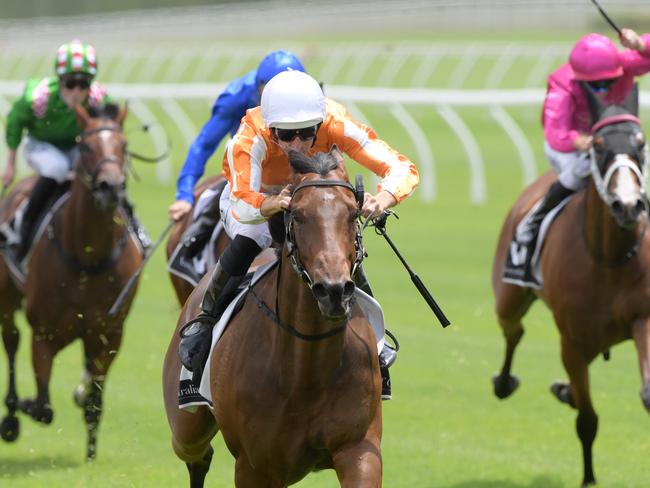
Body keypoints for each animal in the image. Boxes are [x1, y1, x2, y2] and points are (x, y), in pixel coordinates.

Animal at [0, 103, 143, 458]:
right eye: (87, 147)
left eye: (123, 146)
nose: (111, 186)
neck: (88, 258)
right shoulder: (44, 333)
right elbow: (42, 407)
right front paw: (21, 406)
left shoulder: (110, 334)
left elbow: (93, 400)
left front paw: (91, 452)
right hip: (6, 297)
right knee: (11, 341)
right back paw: (10, 414)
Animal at [163, 150, 384, 488]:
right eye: (299, 215)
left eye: (351, 213)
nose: (333, 291)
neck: (307, 367)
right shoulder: (255, 465)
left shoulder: (359, 447)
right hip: (186, 426)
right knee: (196, 453)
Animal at [492, 88, 648, 484]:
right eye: (597, 145)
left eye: (641, 143)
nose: (628, 205)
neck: (608, 258)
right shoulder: (572, 340)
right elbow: (587, 420)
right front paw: (589, 478)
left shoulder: (643, 318)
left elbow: (647, 393)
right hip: (508, 299)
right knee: (513, 331)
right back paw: (506, 382)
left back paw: (564, 389)